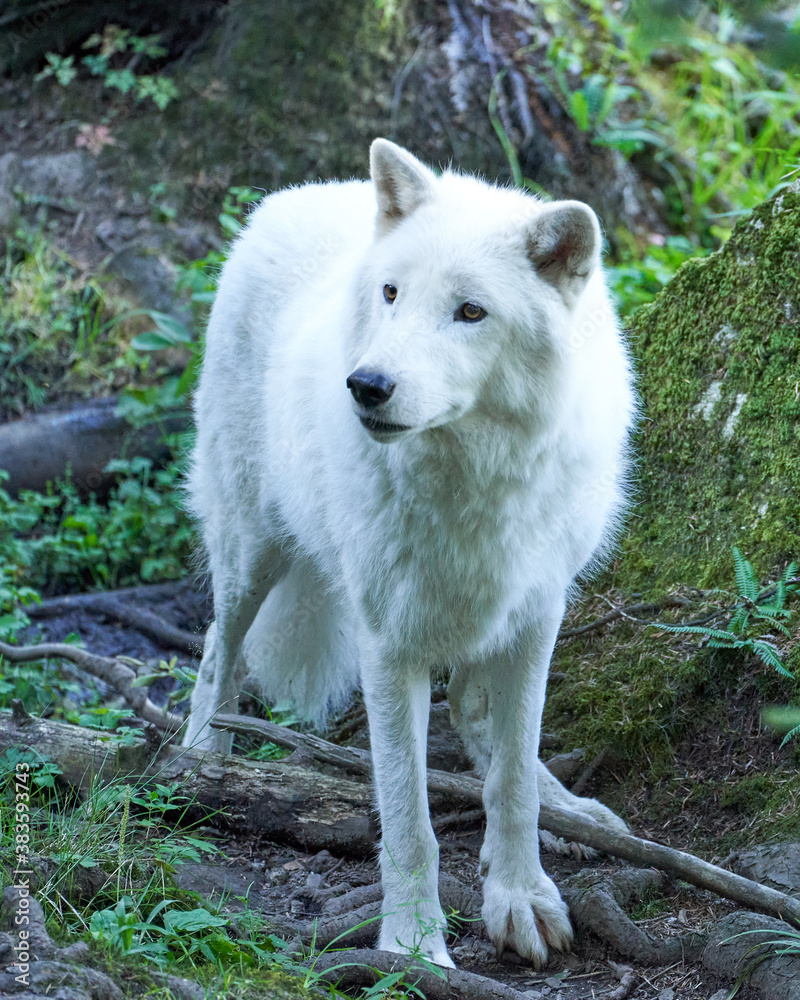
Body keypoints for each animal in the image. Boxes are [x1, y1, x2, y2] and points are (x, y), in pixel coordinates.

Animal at [182, 139, 635, 968]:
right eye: (392, 294)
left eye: (470, 312)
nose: (366, 385)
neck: (470, 478)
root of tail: (294, 195)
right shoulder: (388, 644)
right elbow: (407, 818)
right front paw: (414, 948)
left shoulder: (534, 618)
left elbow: (512, 782)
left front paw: (519, 896)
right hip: (251, 547)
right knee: (214, 648)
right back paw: (200, 764)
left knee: (481, 716)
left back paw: (571, 810)